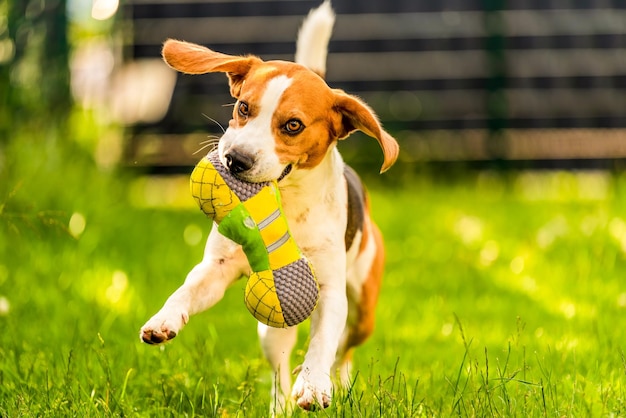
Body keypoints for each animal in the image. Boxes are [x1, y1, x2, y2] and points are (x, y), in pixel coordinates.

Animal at [139, 0, 398, 412]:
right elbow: (186, 290)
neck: (284, 204)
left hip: (363, 310)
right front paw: (164, 319)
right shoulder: (217, 269)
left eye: (293, 125)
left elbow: (322, 343)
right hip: (271, 324)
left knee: (343, 350)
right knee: (279, 367)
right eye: (243, 107)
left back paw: (336, 383)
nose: (235, 160)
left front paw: (314, 385)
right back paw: (281, 406)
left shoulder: (330, 291)